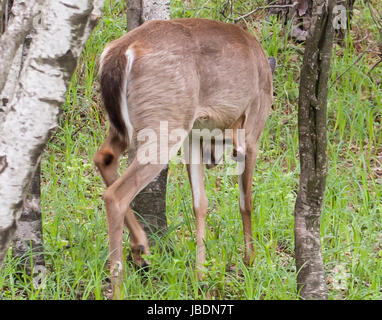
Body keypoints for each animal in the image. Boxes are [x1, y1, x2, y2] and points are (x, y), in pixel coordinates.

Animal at [94, 18, 276, 298]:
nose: (213, 161)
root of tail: (121, 52)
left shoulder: (193, 135)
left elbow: (200, 203)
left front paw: (200, 275)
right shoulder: (253, 128)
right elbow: (246, 202)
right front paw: (250, 262)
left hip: (130, 126)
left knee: (103, 157)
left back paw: (140, 248)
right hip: (166, 120)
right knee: (115, 195)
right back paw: (120, 285)